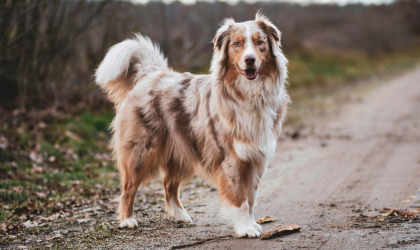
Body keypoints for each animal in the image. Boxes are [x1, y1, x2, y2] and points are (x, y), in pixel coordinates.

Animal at [95, 13, 290, 238]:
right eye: (237, 44)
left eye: (260, 42)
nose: (250, 60)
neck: (249, 94)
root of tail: (150, 74)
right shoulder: (231, 159)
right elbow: (240, 198)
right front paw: (245, 228)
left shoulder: (256, 158)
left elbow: (250, 198)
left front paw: (252, 223)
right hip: (141, 151)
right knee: (129, 187)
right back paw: (127, 220)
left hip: (183, 151)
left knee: (168, 185)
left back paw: (180, 215)